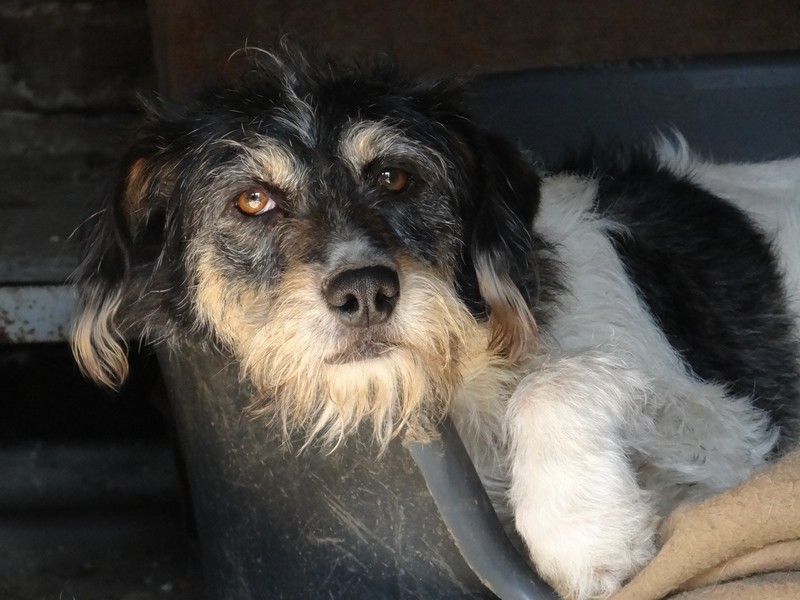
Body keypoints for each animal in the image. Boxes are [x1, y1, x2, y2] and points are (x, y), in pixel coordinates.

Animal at [72, 48, 800, 600]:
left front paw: (582, 535)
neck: (466, 375)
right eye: (253, 201)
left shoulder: (736, 434)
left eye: (395, 177)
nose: (365, 292)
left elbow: (556, 381)